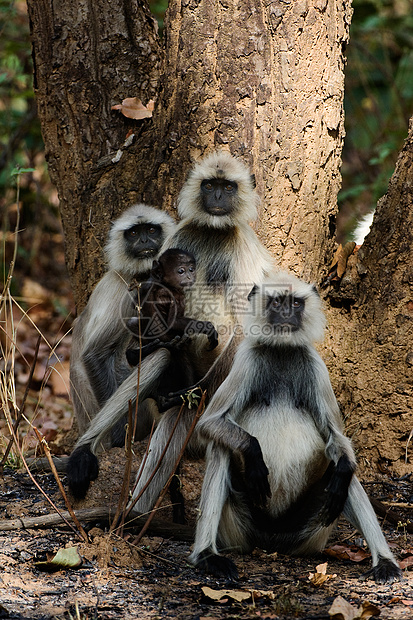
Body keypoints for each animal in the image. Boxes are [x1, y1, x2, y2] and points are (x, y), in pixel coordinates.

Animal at [67, 151, 274, 508]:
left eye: (227, 187)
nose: (217, 199)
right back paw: (89, 454)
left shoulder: (242, 242)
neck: (213, 231)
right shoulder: (181, 236)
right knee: (160, 357)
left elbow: (246, 322)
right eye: (209, 186)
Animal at [191, 272, 402, 588]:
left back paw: (385, 561)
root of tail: (271, 543)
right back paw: (206, 554)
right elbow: (209, 424)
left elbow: (336, 439)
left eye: (296, 303)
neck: (283, 349)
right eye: (278, 302)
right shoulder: (248, 359)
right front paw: (254, 453)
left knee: (343, 469)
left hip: (310, 534)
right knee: (221, 446)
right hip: (238, 529)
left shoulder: (315, 366)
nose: (287, 315)